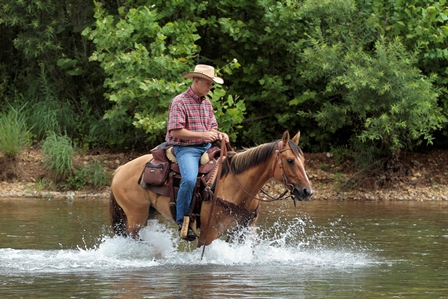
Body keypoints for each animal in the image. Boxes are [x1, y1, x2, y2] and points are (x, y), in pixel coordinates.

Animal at [109, 131, 314, 248]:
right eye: (290, 160)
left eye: (303, 160)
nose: (307, 192)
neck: (237, 186)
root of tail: (120, 169)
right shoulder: (208, 234)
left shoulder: (242, 232)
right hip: (135, 218)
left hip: (149, 215)